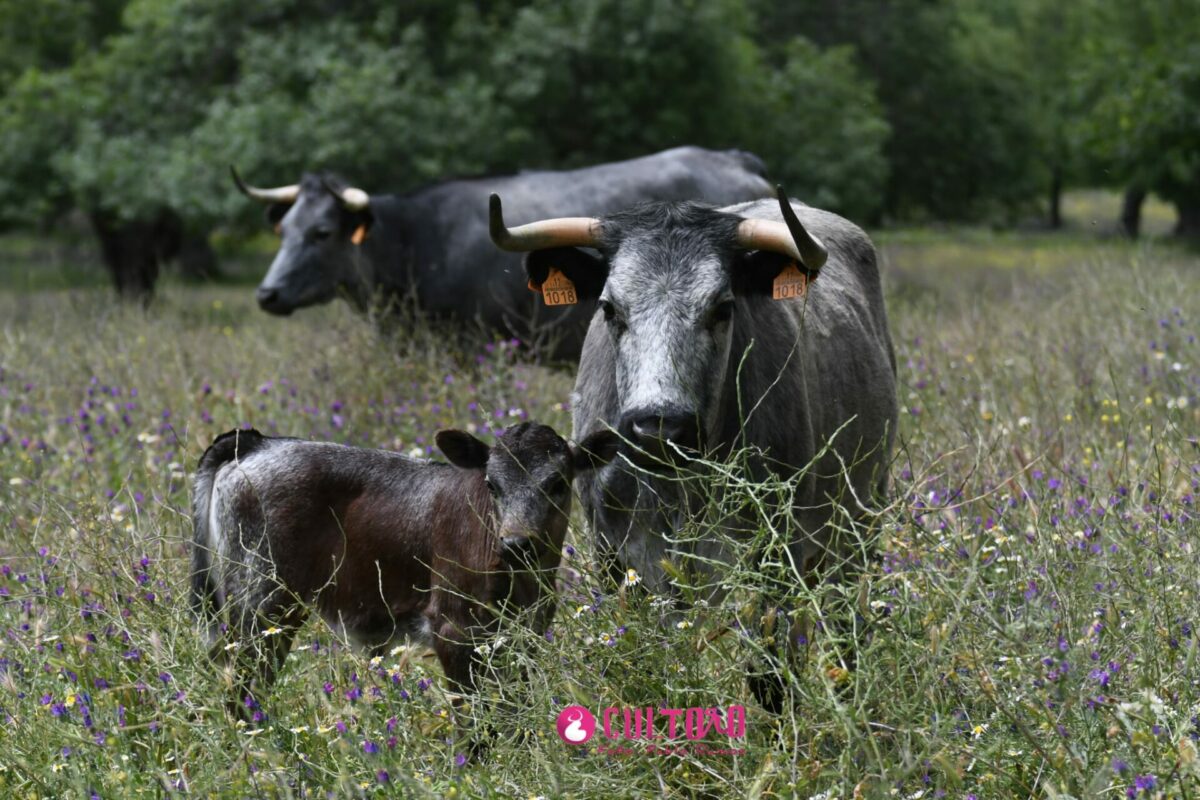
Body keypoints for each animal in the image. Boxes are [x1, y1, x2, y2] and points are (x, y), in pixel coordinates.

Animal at [189, 422, 619, 714]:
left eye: (557, 483)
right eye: (491, 485)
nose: (515, 543)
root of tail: (260, 442)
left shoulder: (525, 636)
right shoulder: (453, 631)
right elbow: (472, 719)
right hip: (260, 605)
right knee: (241, 690)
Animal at [489, 188, 902, 700]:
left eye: (723, 307)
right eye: (609, 308)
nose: (658, 427)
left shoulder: (773, 557)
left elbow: (769, 678)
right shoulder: (615, 556)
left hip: (858, 525)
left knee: (847, 629)